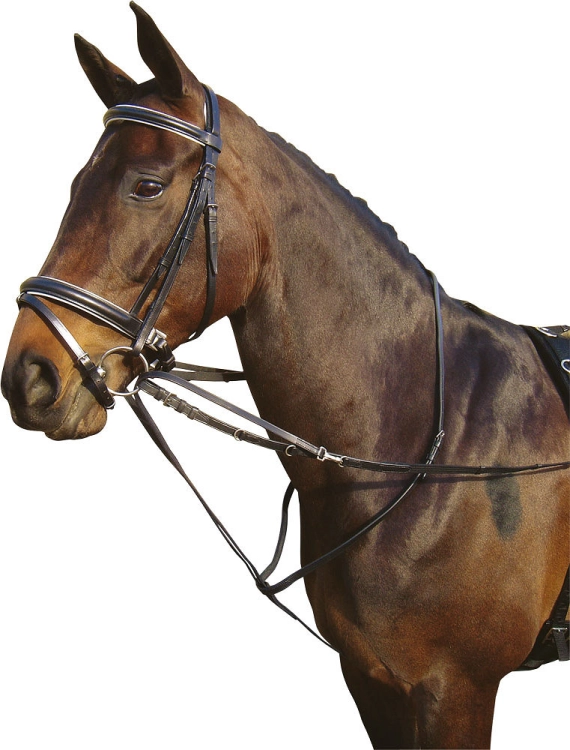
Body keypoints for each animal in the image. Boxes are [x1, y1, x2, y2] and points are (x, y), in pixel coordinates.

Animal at [2, 4, 568, 748]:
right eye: (73, 186)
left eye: (146, 186)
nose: (30, 376)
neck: (426, 445)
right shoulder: (374, 683)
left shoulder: (456, 691)